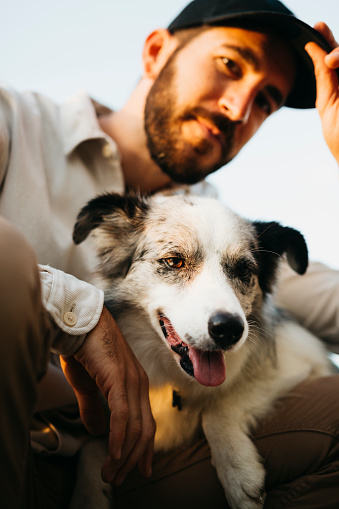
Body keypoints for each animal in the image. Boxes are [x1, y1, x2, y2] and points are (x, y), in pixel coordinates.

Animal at [73, 191, 332, 508]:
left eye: (244, 270)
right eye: (174, 261)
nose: (229, 330)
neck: (175, 381)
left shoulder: (297, 361)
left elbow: (216, 409)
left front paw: (239, 473)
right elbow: (90, 446)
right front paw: (88, 494)